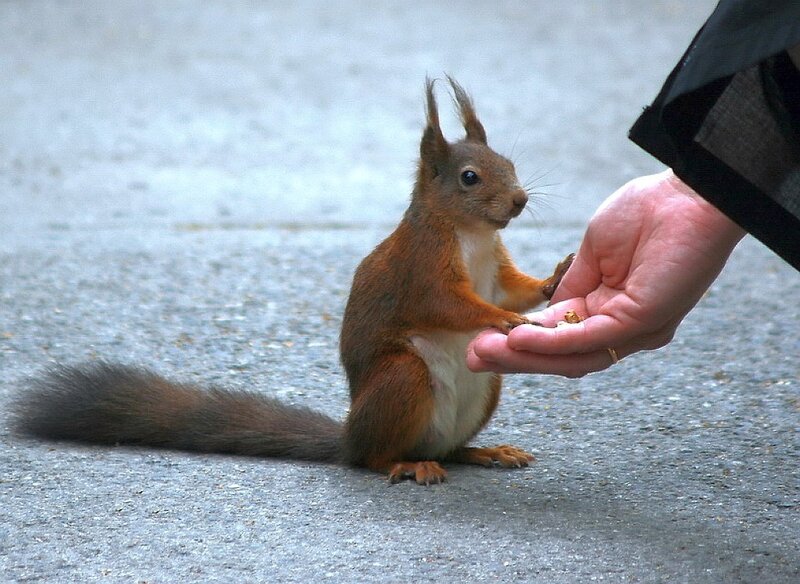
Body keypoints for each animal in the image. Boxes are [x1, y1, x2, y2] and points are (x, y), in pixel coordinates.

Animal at [13, 77, 573, 485]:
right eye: (469, 177)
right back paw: (404, 464)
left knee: (452, 449)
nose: (520, 200)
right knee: (377, 456)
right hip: (402, 378)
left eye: (510, 164)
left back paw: (485, 451)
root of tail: (349, 437)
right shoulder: (422, 268)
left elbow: (512, 288)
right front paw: (503, 319)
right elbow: (451, 305)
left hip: (484, 389)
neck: (471, 235)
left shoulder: (494, 266)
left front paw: (555, 280)